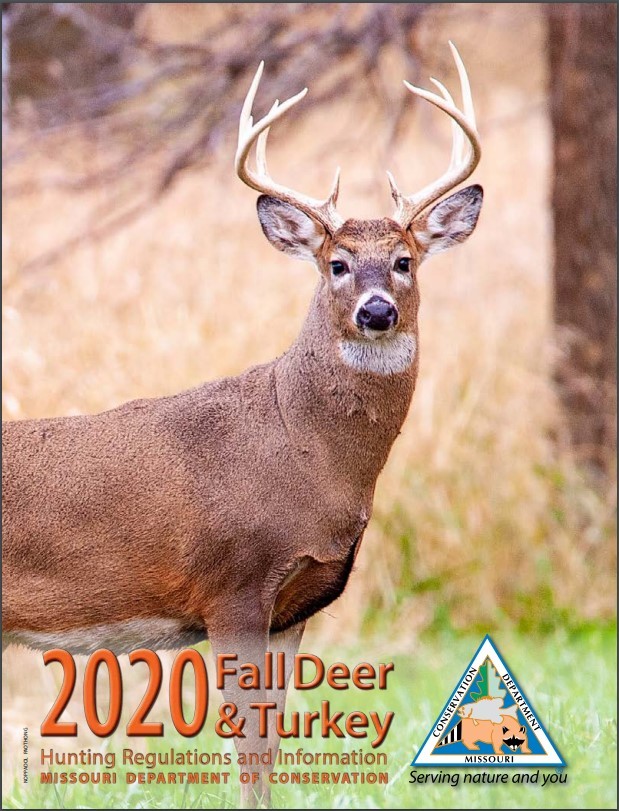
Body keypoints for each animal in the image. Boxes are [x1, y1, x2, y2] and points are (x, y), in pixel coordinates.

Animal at [2, 43, 482, 806]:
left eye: (404, 260)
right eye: (336, 263)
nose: (376, 310)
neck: (305, 452)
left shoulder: (295, 603)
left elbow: (271, 741)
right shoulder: (231, 581)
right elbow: (246, 742)